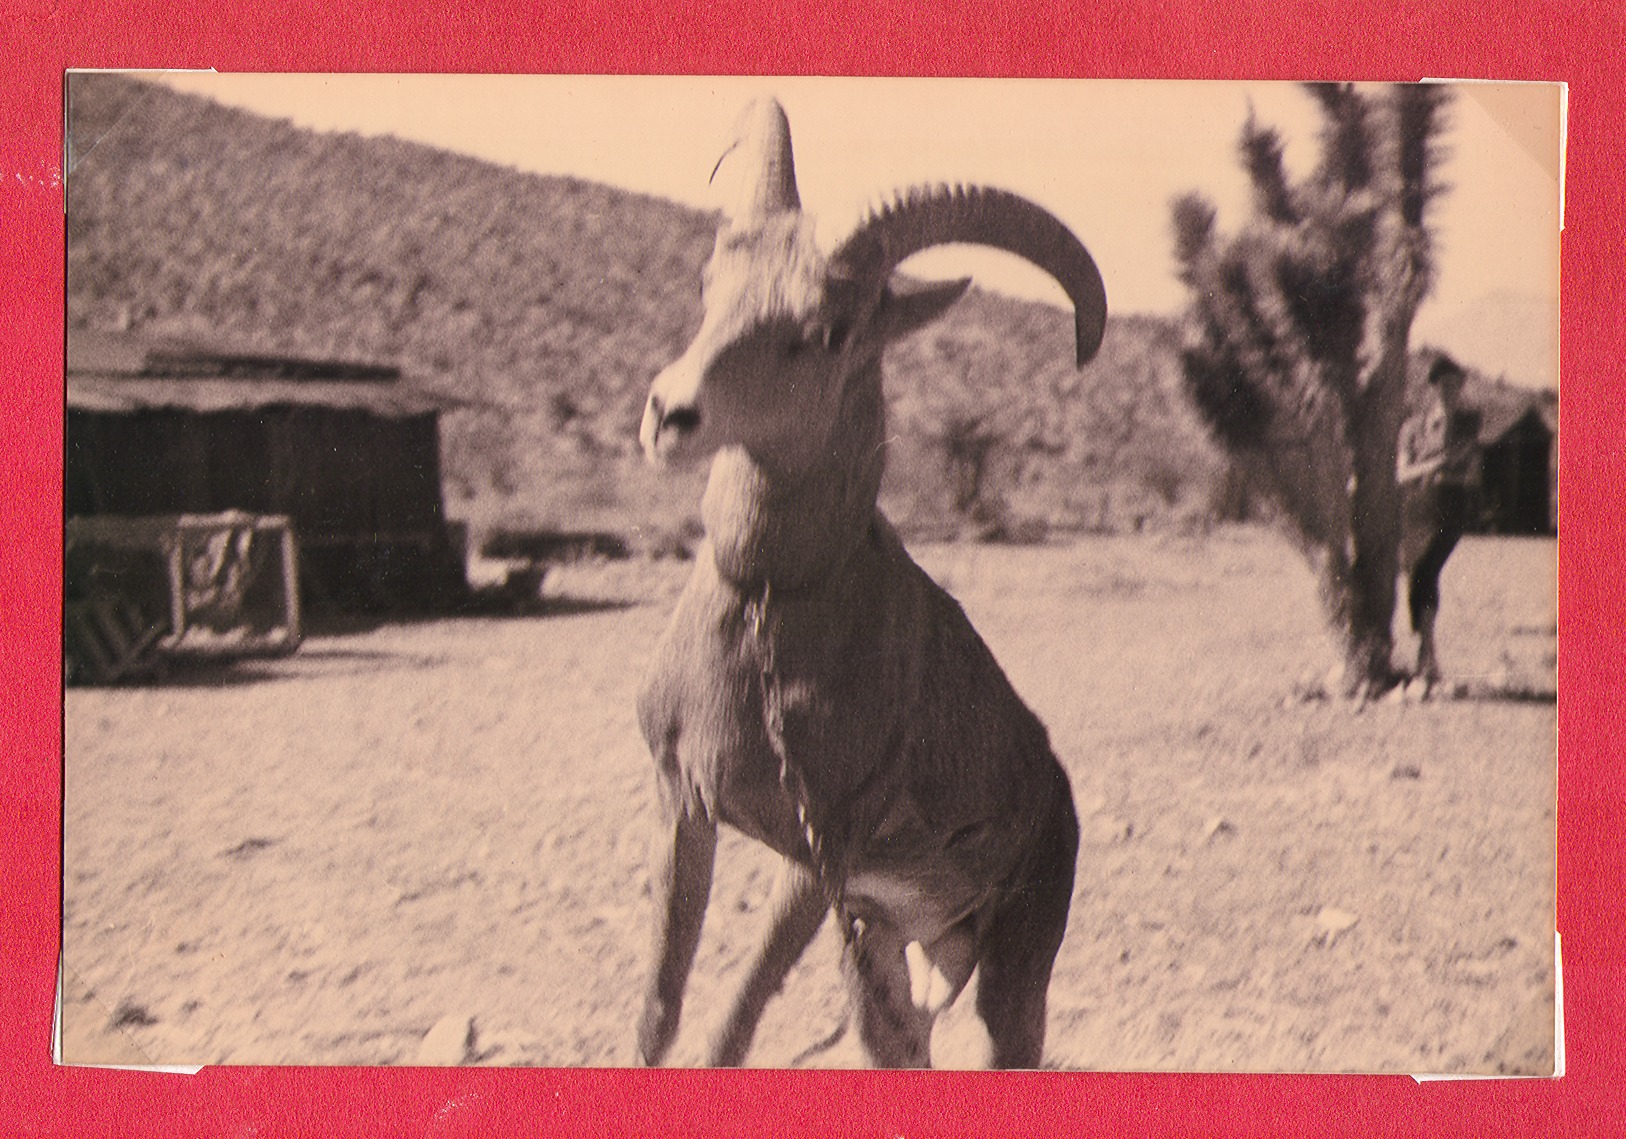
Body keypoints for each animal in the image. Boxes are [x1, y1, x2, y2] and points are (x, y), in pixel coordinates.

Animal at [633, 98, 1107, 1068]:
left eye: (826, 331)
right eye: (710, 284)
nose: (669, 414)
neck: (769, 603)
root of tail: (1059, 797)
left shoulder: (818, 858)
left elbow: (729, 1024)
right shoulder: (683, 806)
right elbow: (660, 1009)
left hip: (1009, 980)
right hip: (888, 953)